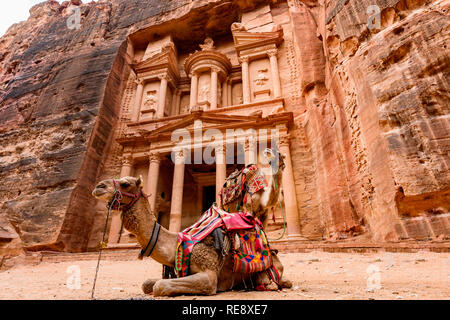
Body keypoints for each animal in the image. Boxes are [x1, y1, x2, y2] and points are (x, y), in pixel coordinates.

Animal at [91, 149, 292, 296]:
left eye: (125, 183)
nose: (98, 186)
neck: (176, 243)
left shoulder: (209, 275)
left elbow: (160, 286)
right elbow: (148, 284)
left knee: (276, 280)